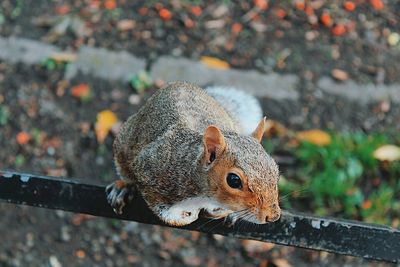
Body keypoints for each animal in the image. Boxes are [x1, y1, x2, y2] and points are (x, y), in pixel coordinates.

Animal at [106, 81, 282, 226]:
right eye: (233, 180)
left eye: (276, 170)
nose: (273, 216)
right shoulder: (149, 168)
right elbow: (159, 206)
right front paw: (183, 217)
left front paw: (228, 213)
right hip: (123, 146)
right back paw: (123, 188)